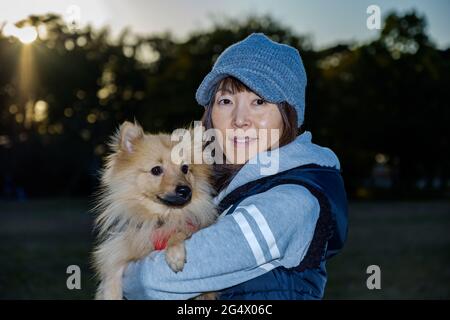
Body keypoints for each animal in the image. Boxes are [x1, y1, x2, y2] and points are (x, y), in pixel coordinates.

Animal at [92, 122, 218, 300]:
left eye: (185, 168)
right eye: (156, 170)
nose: (185, 190)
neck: (161, 216)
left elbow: (179, 230)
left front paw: (175, 252)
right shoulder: (120, 251)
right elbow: (112, 275)